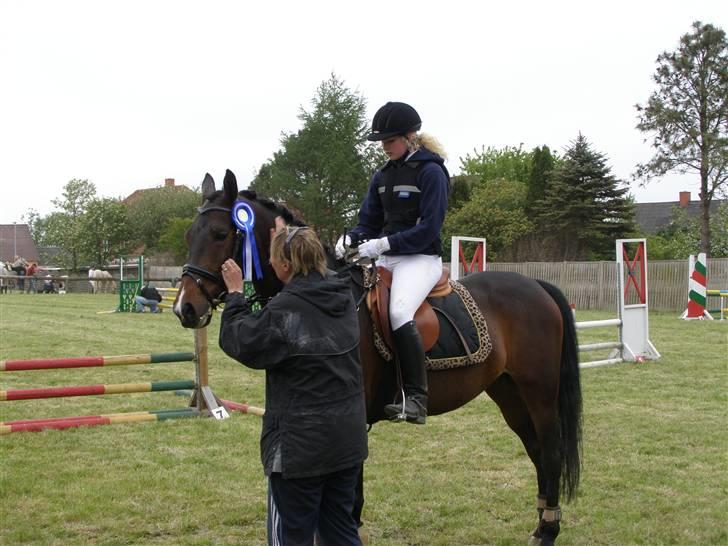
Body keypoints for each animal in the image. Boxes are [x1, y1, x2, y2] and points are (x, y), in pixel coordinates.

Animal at [172, 169, 580, 540]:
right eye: (190, 235)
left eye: (221, 234)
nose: (184, 308)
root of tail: (537, 286)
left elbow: (350, 499)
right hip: (509, 392)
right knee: (535, 449)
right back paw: (541, 523)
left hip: (539, 393)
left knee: (550, 450)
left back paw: (548, 530)